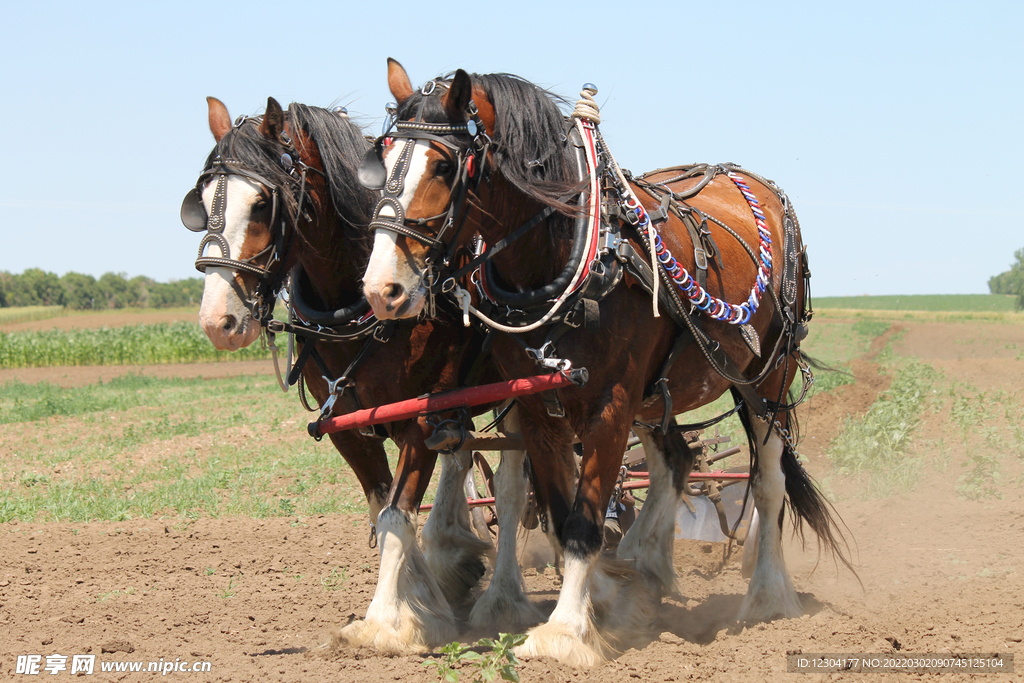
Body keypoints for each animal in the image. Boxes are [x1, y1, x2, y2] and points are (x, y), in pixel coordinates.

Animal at [182, 97, 544, 651]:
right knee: (462, 462)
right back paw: (453, 556)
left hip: (516, 395)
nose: (217, 322)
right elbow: (382, 510)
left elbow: (397, 514)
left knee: (508, 485)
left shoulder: (421, 418)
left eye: (263, 204)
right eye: (200, 201)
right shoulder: (349, 428)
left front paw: (387, 621)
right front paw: (423, 595)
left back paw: (502, 599)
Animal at [360, 61, 856, 663]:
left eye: (445, 165)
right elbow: (559, 514)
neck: (570, 257)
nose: (381, 289)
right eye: (382, 158)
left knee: (767, 481)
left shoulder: (611, 403)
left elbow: (584, 521)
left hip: (766, 379)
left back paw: (767, 596)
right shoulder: (539, 407)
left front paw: (565, 633)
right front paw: (604, 603)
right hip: (661, 392)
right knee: (675, 462)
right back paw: (647, 568)